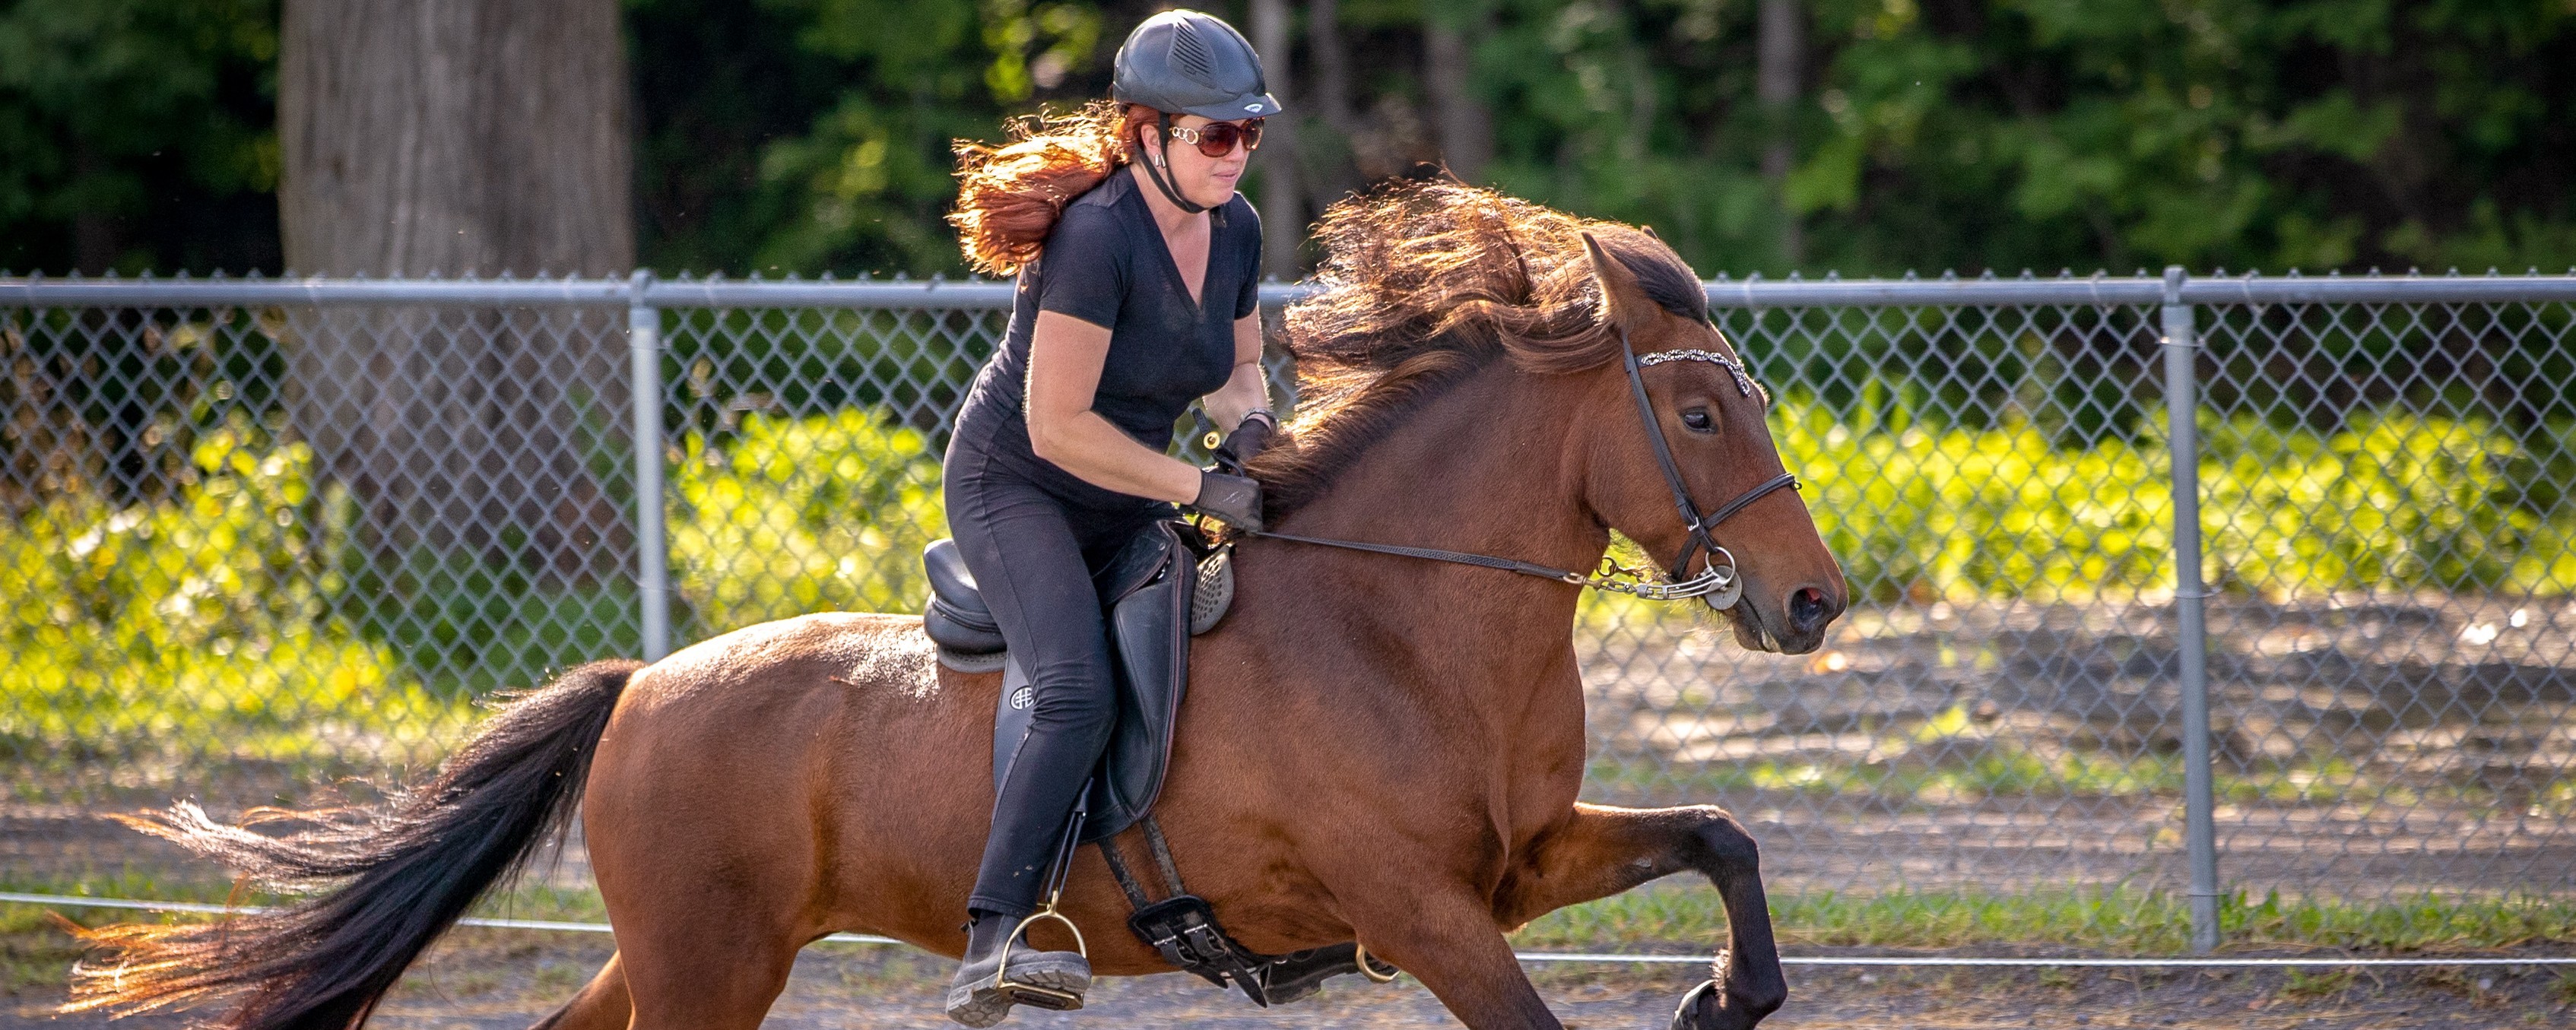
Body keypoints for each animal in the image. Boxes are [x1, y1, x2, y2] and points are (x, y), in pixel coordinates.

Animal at [67, 182, 1848, 1030]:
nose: (1813, 601)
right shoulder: (1421, 909)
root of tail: (641, 685)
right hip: (708, 965)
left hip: (691, 954)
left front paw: (1722, 993)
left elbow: (1723, 837)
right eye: (1701, 414)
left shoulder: (1515, 863)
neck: (1404, 625)